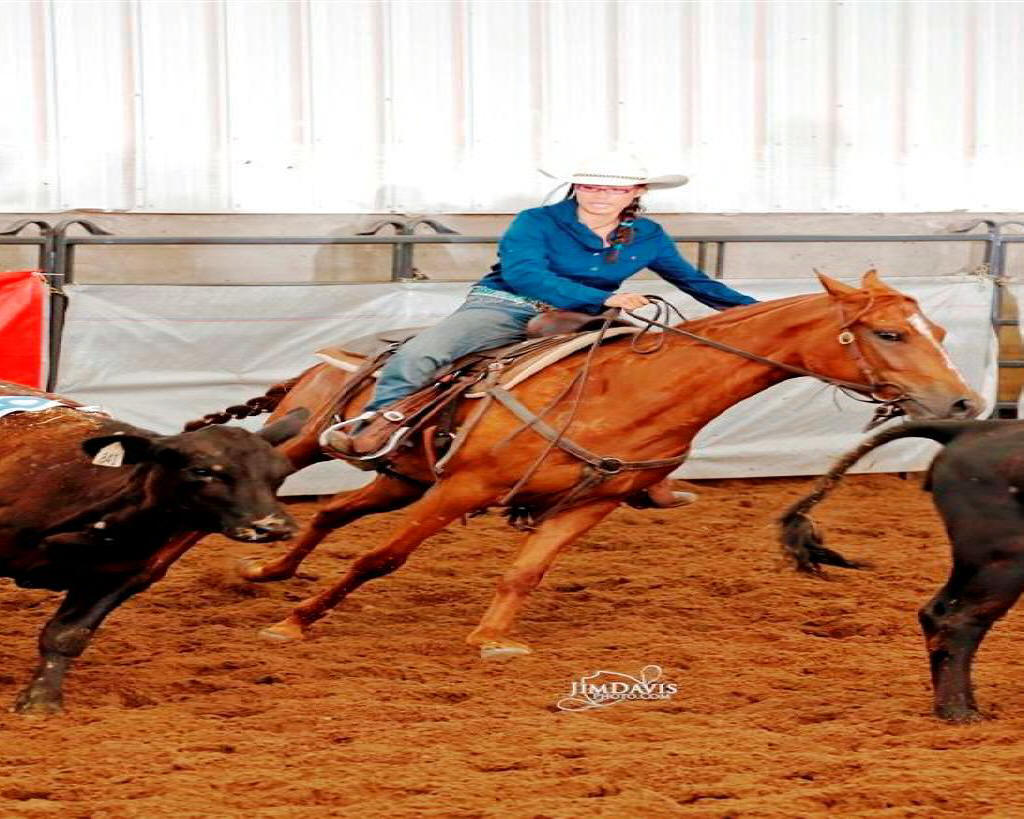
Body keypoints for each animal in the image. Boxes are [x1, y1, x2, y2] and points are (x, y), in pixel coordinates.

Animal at [189, 270, 981, 659]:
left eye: (940, 332)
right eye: (889, 332)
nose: (964, 401)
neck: (623, 393)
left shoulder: (589, 503)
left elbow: (525, 571)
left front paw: (491, 637)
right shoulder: (465, 487)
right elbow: (379, 561)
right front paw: (295, 625)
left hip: (402, 479)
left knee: (330, 513)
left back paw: (266, 571)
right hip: (313, 444)